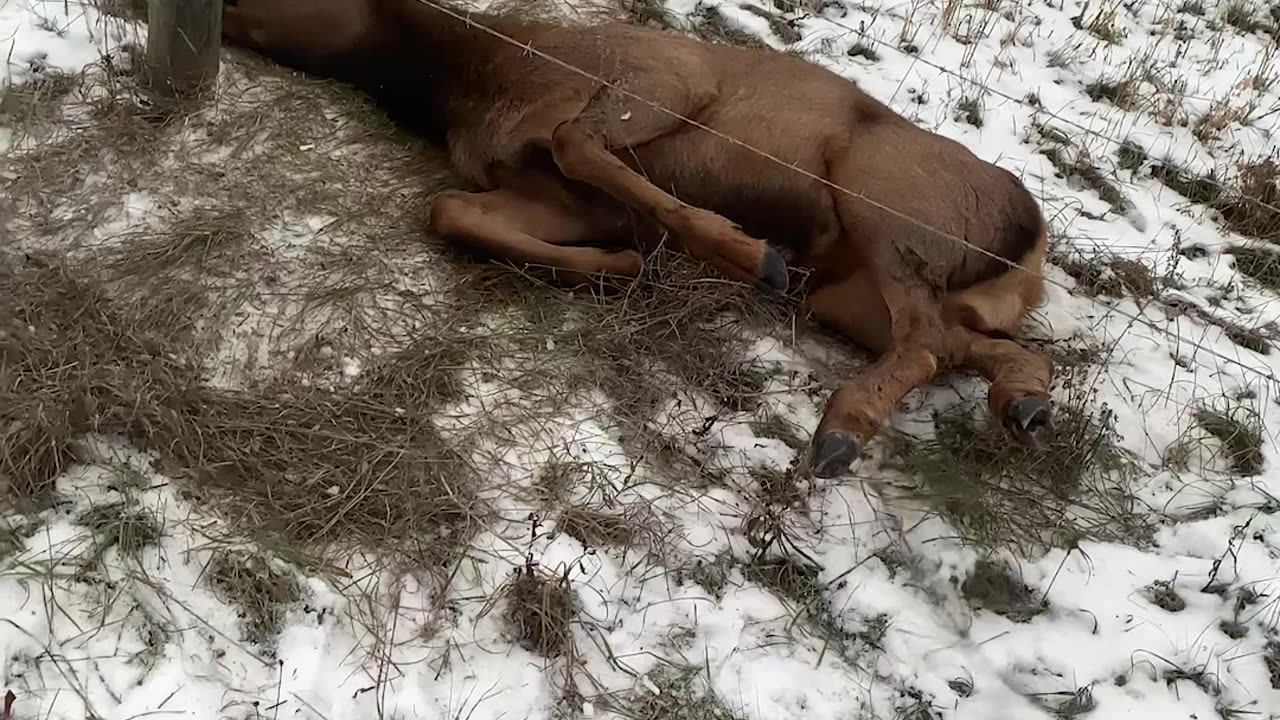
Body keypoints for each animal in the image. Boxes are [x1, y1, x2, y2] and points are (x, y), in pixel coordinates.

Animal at [222, 0, 1059, 476]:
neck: (473, 80)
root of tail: (1033, 250)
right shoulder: (561, 197)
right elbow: (453, 209)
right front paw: (619, 266)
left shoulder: (662, 79)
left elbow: (571, 141)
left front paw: (746, 253)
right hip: (850, 294)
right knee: (972, 343)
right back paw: (1023, 403)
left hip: (883, 195)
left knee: (925, 341)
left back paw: (841, 430)